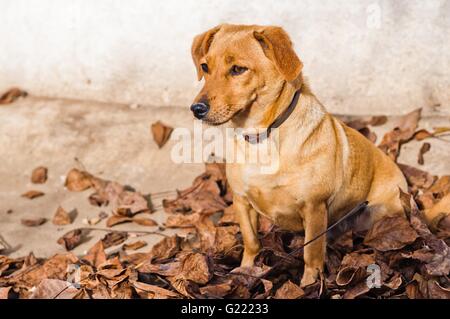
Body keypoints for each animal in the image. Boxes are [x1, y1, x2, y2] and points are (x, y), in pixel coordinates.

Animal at [190, 25, 408, 288]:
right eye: (205, 67)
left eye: (238, 69)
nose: (196, 109)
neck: (261, 136)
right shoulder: (241, 201)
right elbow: (251, 242)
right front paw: (245, 271)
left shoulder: (314, 208)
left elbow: (311, 254)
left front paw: (308, 285)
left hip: (382, 213)